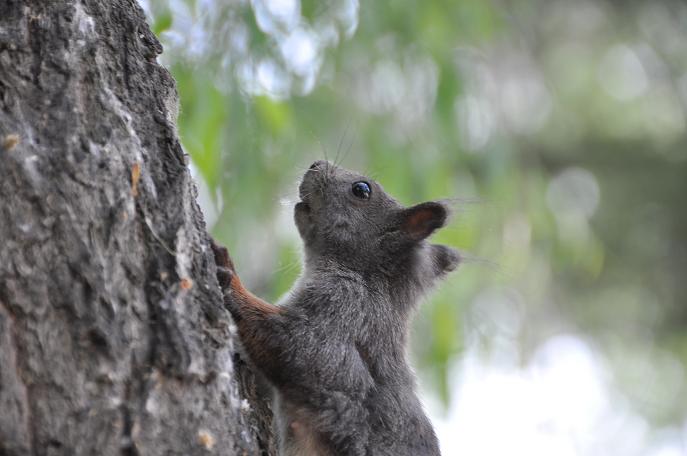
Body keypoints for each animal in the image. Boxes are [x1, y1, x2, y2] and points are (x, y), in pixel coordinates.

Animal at [214, 160, 462, 456]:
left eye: (361, 190)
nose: (315, 164)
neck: (364, 277)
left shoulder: (343, 311)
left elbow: (293, 346)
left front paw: (232, 278)